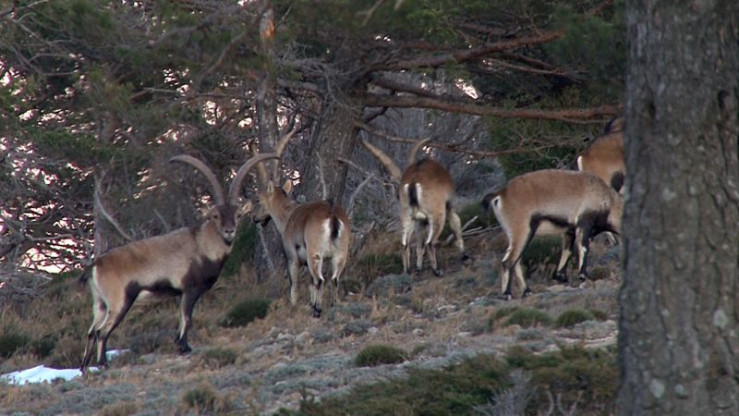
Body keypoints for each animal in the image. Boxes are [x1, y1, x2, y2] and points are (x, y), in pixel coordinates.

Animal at [79, 153, 277, 373]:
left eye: (238, 215)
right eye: (216, 215)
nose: (229, 231)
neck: (202, 244)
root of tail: (95, 266)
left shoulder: (184, 293)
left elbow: (183, 319)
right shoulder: (190, 290)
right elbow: (187, 318)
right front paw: (184, 347)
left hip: (100, 304)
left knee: (90, 331)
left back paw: (84, 368)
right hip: (119, 302)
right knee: (101, 332)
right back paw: (102, 363)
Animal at [251, 154, 351, 318]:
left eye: (258, 199)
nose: (255, 218)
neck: (288, 216)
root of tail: (332, 216)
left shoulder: (292, 258)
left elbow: (294, 286)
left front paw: (295, 306)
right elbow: (310, 285)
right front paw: (311, 304)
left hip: (314, 254)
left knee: (320, 280)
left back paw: (318, 310)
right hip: (340, 254)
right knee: (334, 279)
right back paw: (333, 305)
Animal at [360, 137, 465, 276]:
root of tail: (413, 182)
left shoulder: (419, 221)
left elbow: (419, 244)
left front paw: (419, 266)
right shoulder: (450, 207)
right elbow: (456, 225)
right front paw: (464, 255)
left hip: (407, 216)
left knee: (405, 243)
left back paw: (407, 270)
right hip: (437, 215)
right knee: (430, 242)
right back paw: (437, 270)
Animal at [482, 169, 622, 300]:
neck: (608, 200)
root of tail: (501, 194)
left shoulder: (569, 232)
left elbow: (567, 251)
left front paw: (560, 276)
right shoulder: (584, 224)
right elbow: (584, 248)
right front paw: (583, 276)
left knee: (516, 260)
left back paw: (527, 291)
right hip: (523, 232)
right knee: (508, 261)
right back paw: (507, 294)